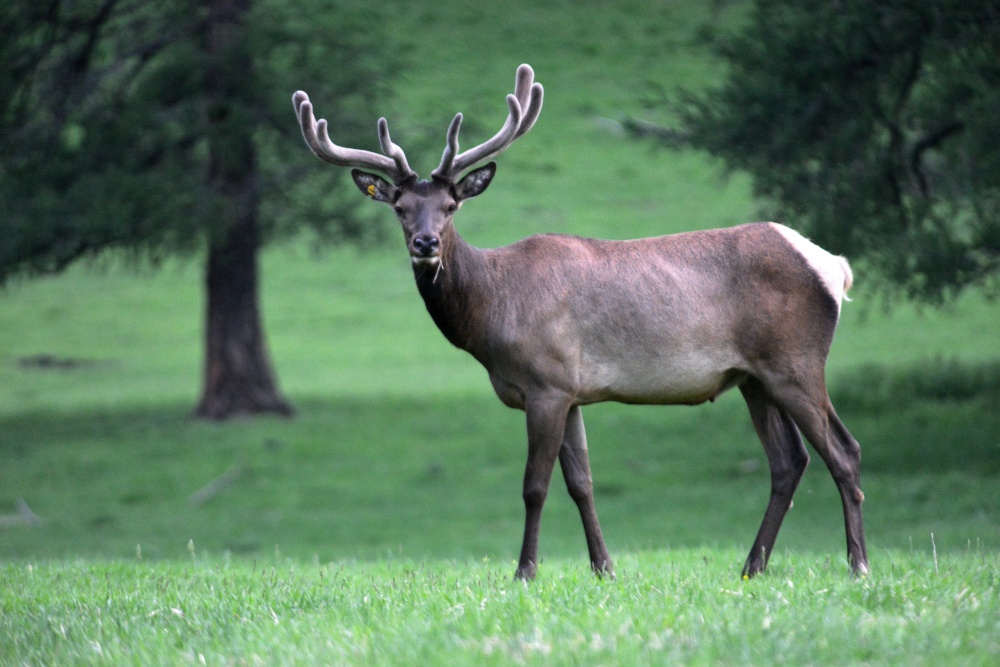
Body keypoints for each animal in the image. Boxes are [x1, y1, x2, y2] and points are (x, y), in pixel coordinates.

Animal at [292, 65, 868, 580]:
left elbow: (535, 485)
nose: (426, 243)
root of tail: (835, 267)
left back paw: (857, 564)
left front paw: (525, 571)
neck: (493, 316)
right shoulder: (571, 390)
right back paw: (752, 567)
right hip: (753, 377)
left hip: (795, 359)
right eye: (400, 208)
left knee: (844, 450)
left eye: (451, 205)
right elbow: (582, 483)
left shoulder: (546, 381)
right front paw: (604, 568)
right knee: (789, 461)